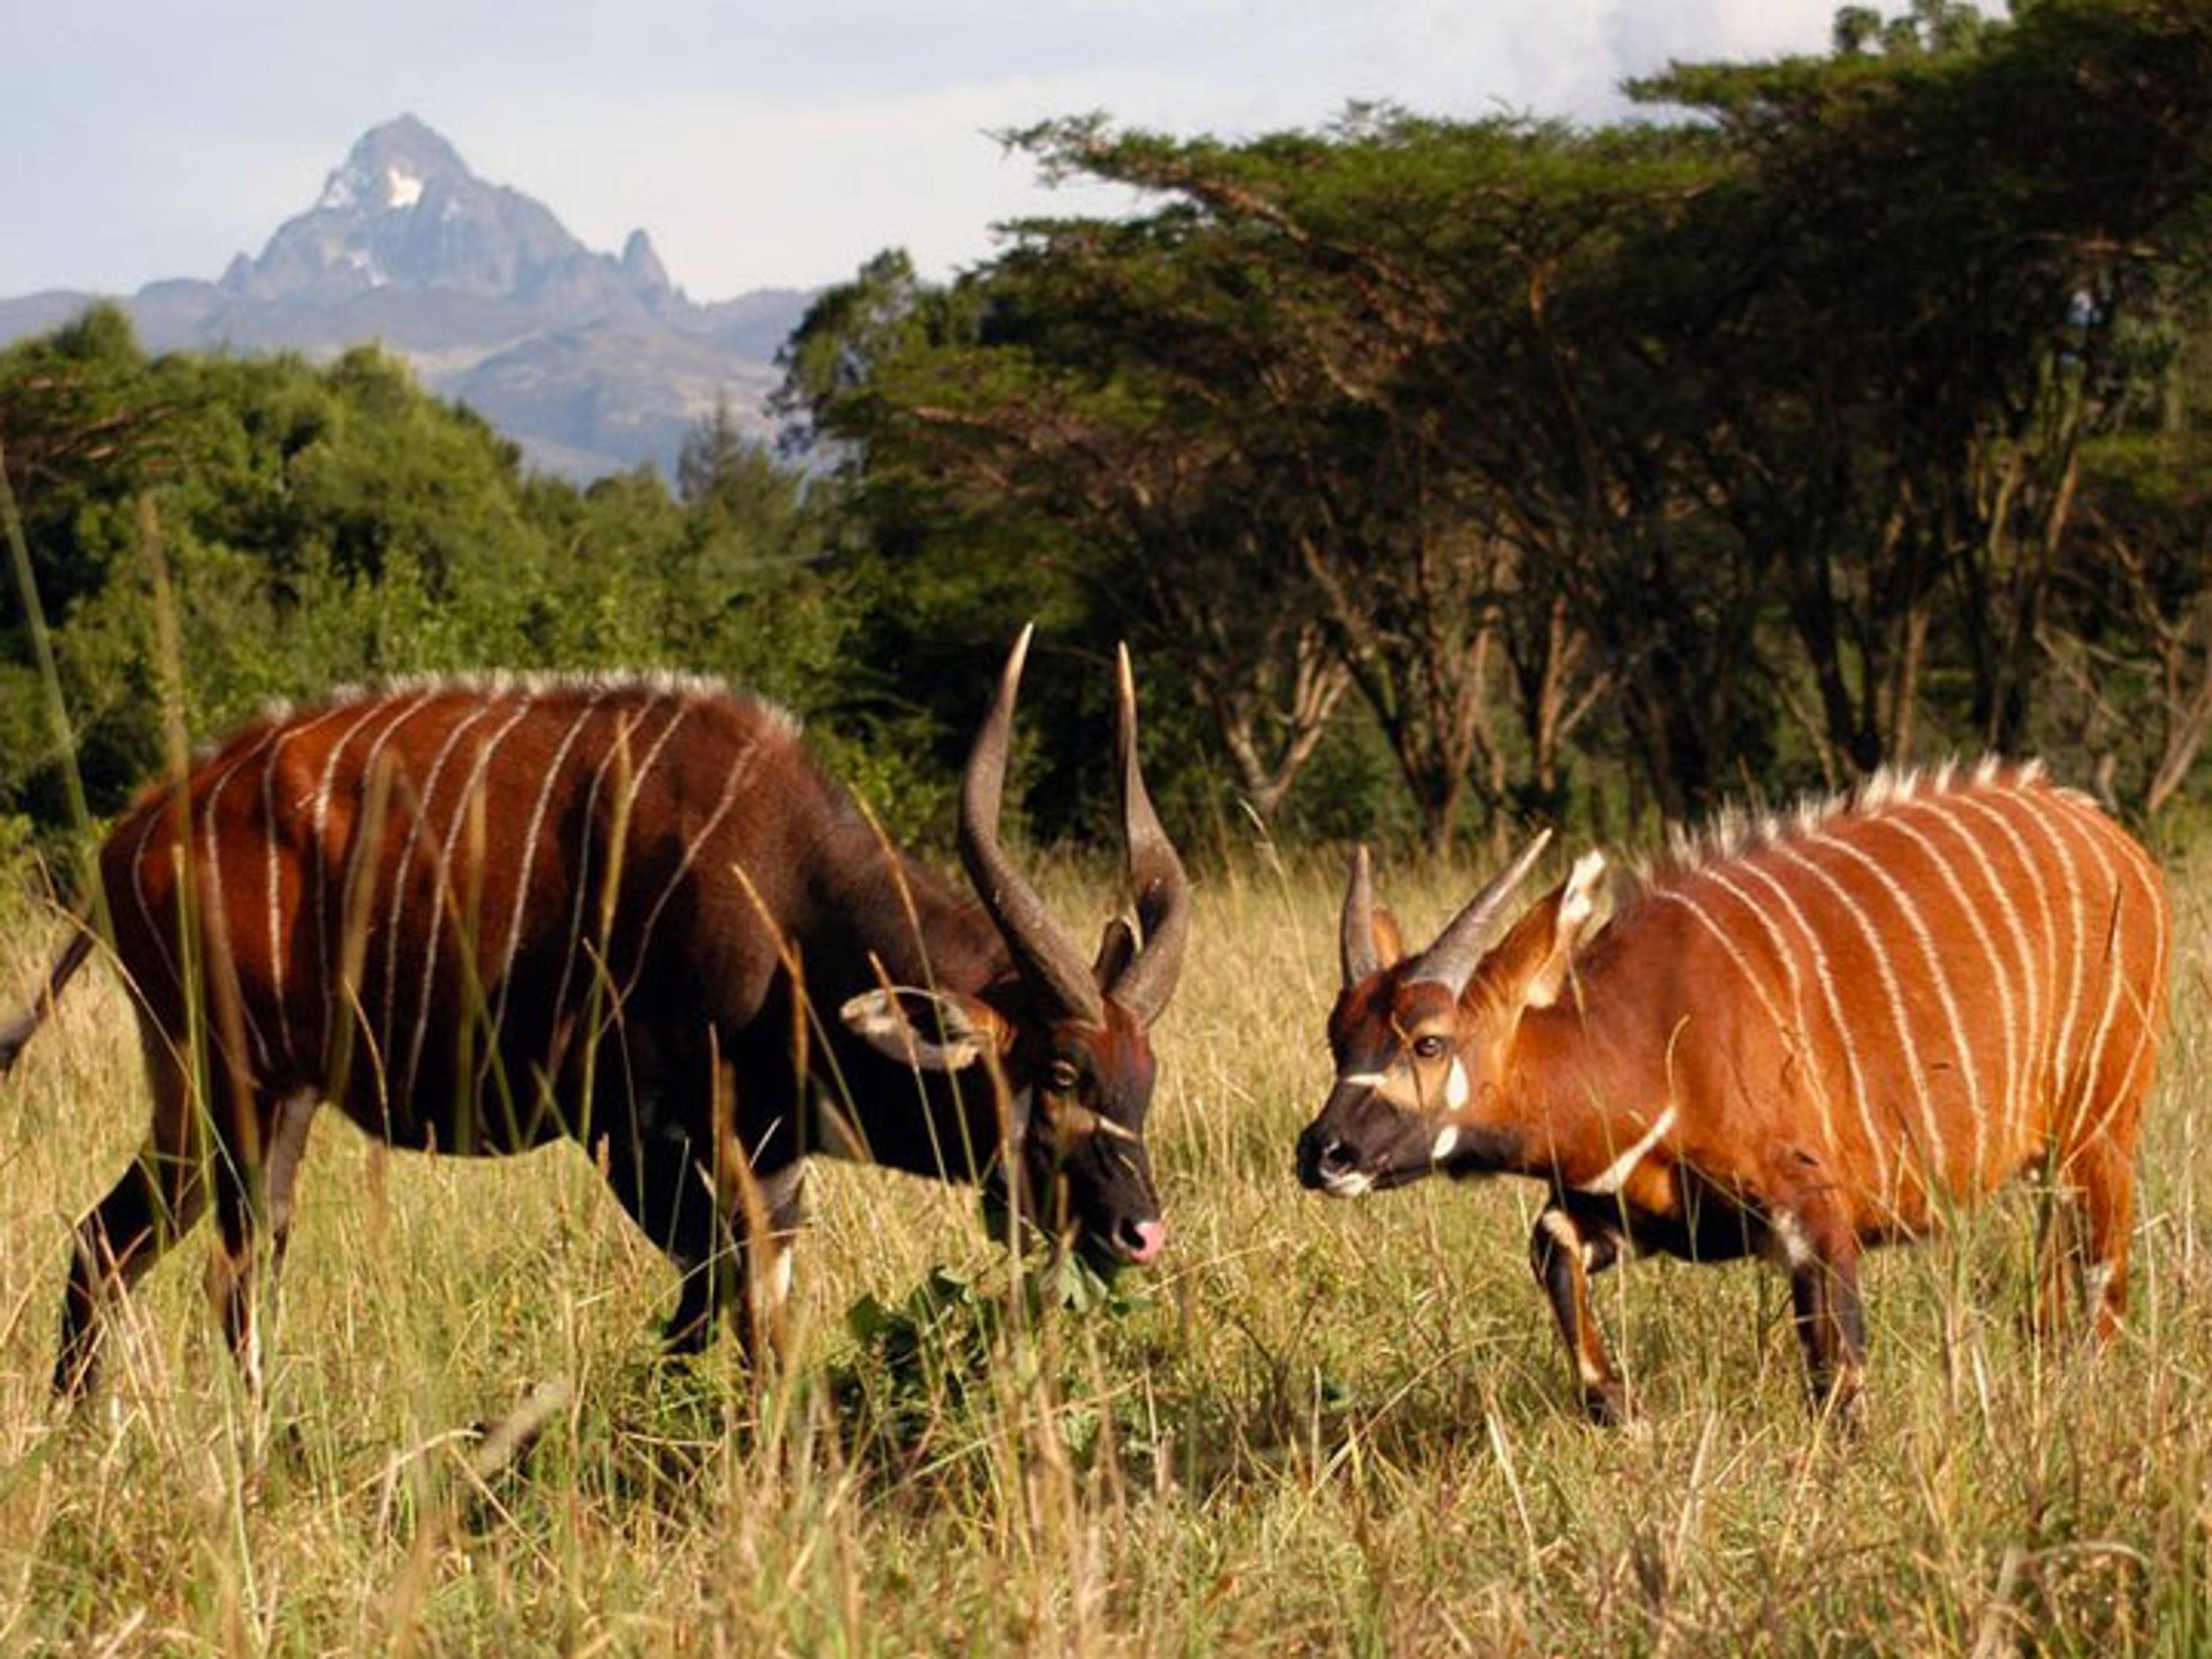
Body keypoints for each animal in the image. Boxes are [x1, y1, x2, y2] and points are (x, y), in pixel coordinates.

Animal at [4, 628, 1194, 1397]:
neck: (782, 890)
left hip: (248, 1109)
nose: (1140, 1230)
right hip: (233, 1096)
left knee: (150, 1252)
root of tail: (136, 829)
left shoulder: (770, 1158)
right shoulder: (637, 1132)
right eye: (1059, 1072)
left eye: (1146, 1077)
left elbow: (754, 1310)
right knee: (186, 1264)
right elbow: (718, 1304)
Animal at [1300, 760, 2168, 1424]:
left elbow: (1840, 1383)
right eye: (1338, 1037)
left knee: (2105, 1280)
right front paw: (1619, 1407)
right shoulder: (1631, 1213)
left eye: (1429, 1040)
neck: (1644, 1035)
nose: (1323, 1153)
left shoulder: (1816, 1214)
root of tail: (2124, 848)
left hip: (2101, 1132)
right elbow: (1549, 1245)